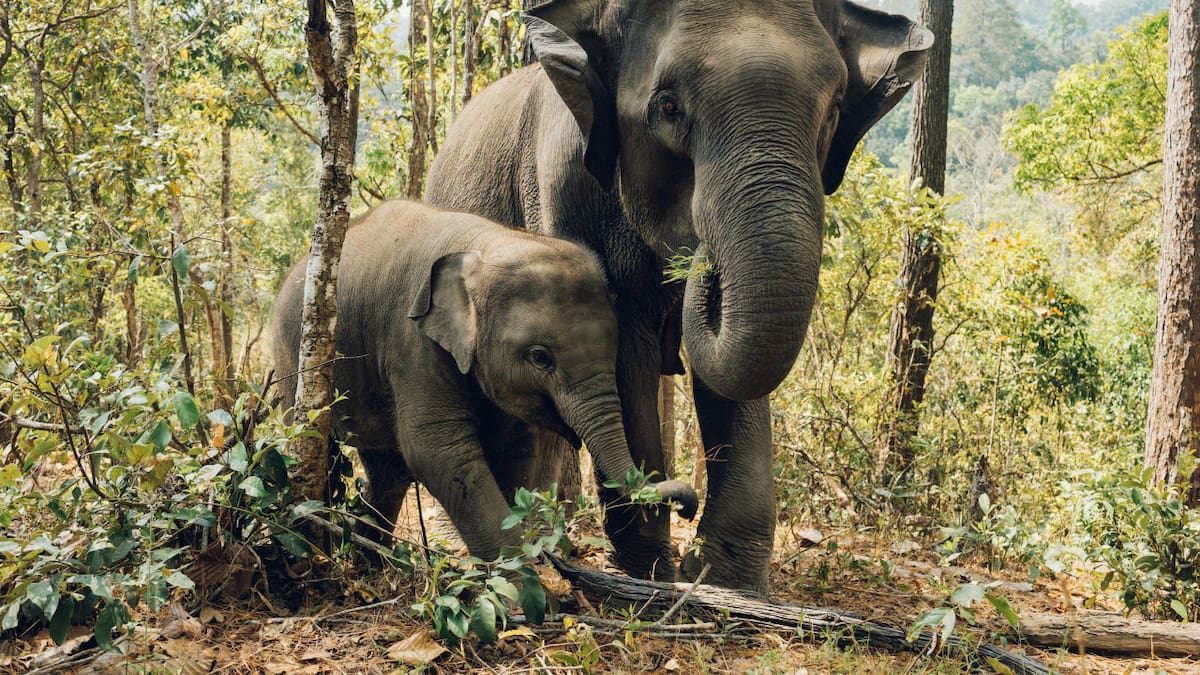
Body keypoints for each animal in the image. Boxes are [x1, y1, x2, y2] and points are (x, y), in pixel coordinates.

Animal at [270, 200, 699, 561]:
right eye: (540, 357)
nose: (688, 507)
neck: (485, 244)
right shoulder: (412, 341)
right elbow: (437, 448)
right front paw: (524, 588)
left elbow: (513, 448)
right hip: (293, 357)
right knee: (318, 446)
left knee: (388, 470)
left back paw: (372, 562)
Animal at [423, 0, 931, 590]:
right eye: (668, 107)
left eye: (831, 112)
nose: (700, 255)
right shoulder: (564, 189)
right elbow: (624, 349)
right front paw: (653, 570)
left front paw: (723, 580)